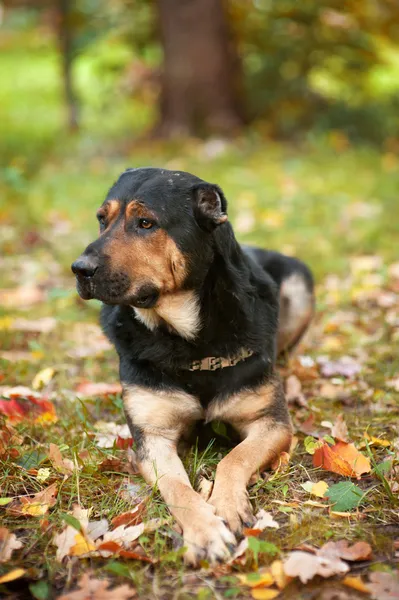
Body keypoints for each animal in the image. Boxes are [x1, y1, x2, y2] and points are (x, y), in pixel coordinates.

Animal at [72, 166, 316, 564]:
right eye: (101, 220)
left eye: (145, 223)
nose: (79, 269)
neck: (186, 341)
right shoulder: (152, 439)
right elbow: (177, 486)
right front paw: (205, 532)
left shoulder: (272, 424)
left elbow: (233, 458)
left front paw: (227, 505)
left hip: (299, 281)